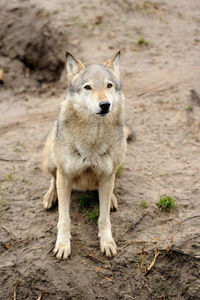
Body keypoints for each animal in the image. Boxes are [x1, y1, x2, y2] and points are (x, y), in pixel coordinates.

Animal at [42, 50, 126, 258]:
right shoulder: (65, 175)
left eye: (109, 85)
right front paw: (63, 245)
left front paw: (107, 242)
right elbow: (64, 218)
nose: (105, 104)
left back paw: (112, 198)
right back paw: (50, 196)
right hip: (50, 160)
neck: (92, 140)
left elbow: (104, 218)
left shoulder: (106, 175)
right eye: (88, 87)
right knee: (52, 179)